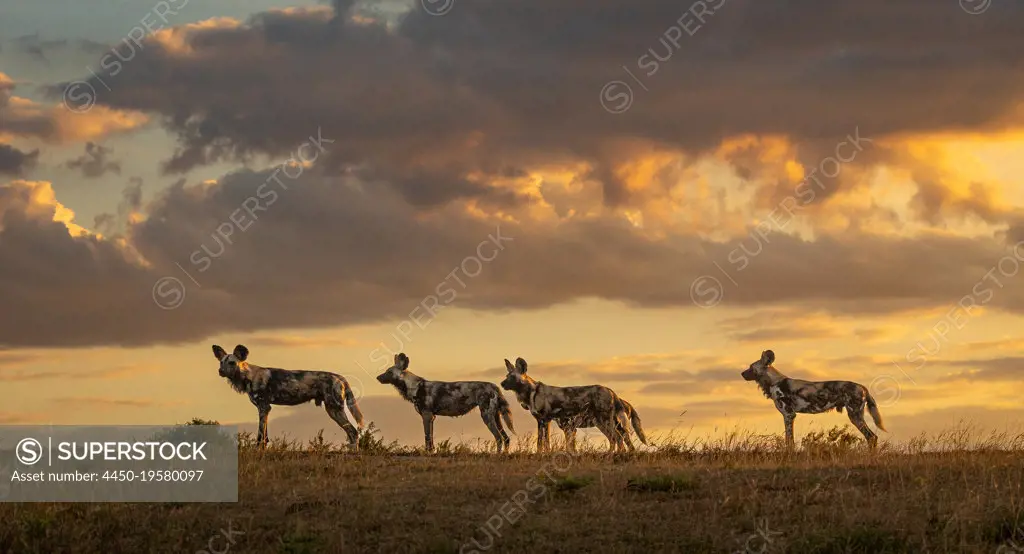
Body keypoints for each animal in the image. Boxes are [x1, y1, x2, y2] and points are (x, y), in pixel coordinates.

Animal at [211, 344, 364, 446]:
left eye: (232, 363)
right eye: (221, 362)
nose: (220, 371)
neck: (247, 376)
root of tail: (339, 377)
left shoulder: (263, 407)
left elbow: (260, 436)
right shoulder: (265, 409)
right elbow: (265, 436)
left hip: (334, 409)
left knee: (353, 433)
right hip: (333, 410)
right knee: (351, 434)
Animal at [376, 352, 516, 450]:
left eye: (389, 372)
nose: (377, 377)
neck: (415, 386)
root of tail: (494, 386)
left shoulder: (426, 416)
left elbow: (427, 438)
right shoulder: (431, 418)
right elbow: (431, 440)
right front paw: (431, 452)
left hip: (486, 416)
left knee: (499, 438)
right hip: (496, 417)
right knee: (506, 438)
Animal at [497, 356, 647, 450]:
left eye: (512, 377)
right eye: (506, 376)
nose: (502, 384)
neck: (531, 393)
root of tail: (611, 391)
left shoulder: (546, 420)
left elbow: (545, 442)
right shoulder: (543, 421)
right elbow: (542, 442)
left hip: (605, 421)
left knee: (617, 438)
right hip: (602, 423)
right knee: (616, 439)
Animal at [741, 350, 884, 448]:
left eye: (751, 367)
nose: (742, 373)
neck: (774, 382)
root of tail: (863, 387)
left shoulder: (789, 415)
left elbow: (789, 441)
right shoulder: (789, 416)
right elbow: (789, 440)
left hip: (855, 416)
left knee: (871, 437)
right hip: (856, 416)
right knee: (873, 437)